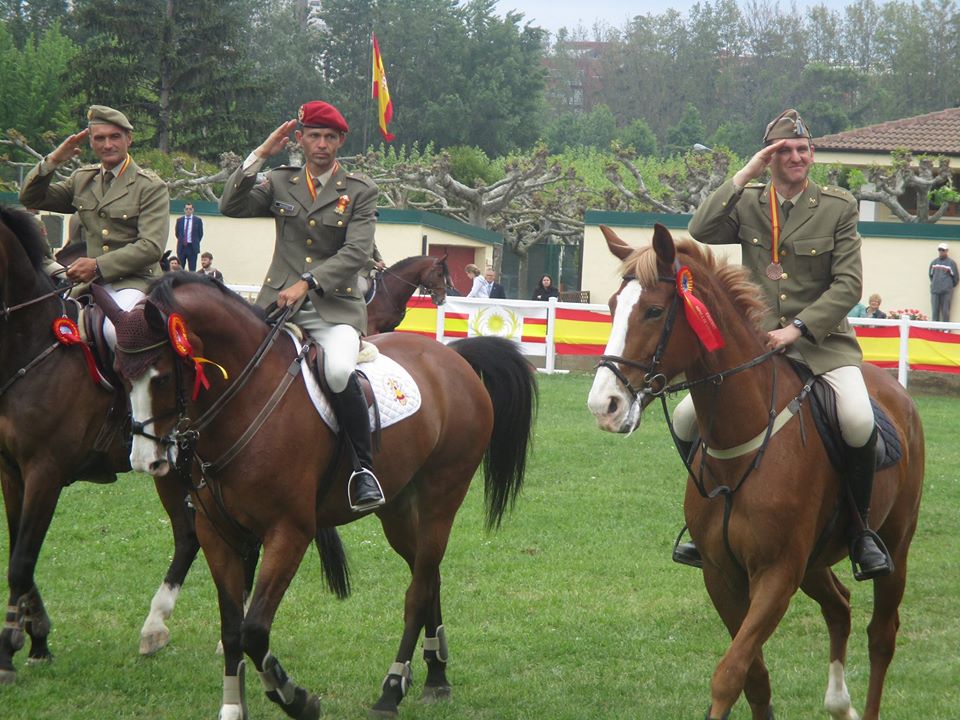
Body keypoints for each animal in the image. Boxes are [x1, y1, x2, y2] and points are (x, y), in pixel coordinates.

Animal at [0, 204, 201, 680]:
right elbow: (19, 553)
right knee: (190, 535)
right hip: (169, 469)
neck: (31, 345)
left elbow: (21, 562)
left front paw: (10, 647)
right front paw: (37, 637)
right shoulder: (11, 472)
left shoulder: (44, 473)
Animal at [100, 272, 536, 720]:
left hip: (441, 497)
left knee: (417, 591)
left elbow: (254, 630)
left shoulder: (289, 532)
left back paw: (392, 689)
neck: (247, 400)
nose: (145, 460)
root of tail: (451, 357)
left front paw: (296, 697)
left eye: (162, 377)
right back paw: (436, 676)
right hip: (397, 509)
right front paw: (233, 708)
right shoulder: (217, 532)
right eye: (118, 373)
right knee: (428, 575)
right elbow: (233, 629)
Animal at [584, 225, 924, 720]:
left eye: (653, 311)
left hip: (893, 547)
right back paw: (839, 703)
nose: (604, 406)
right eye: (611, 307)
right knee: (839, 606)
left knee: (882, 637)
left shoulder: (776, 574)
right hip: (814, 562)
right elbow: (754, 678)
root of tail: (895, 393)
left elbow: (730, 674)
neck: (741, 444)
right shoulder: (722, 574)